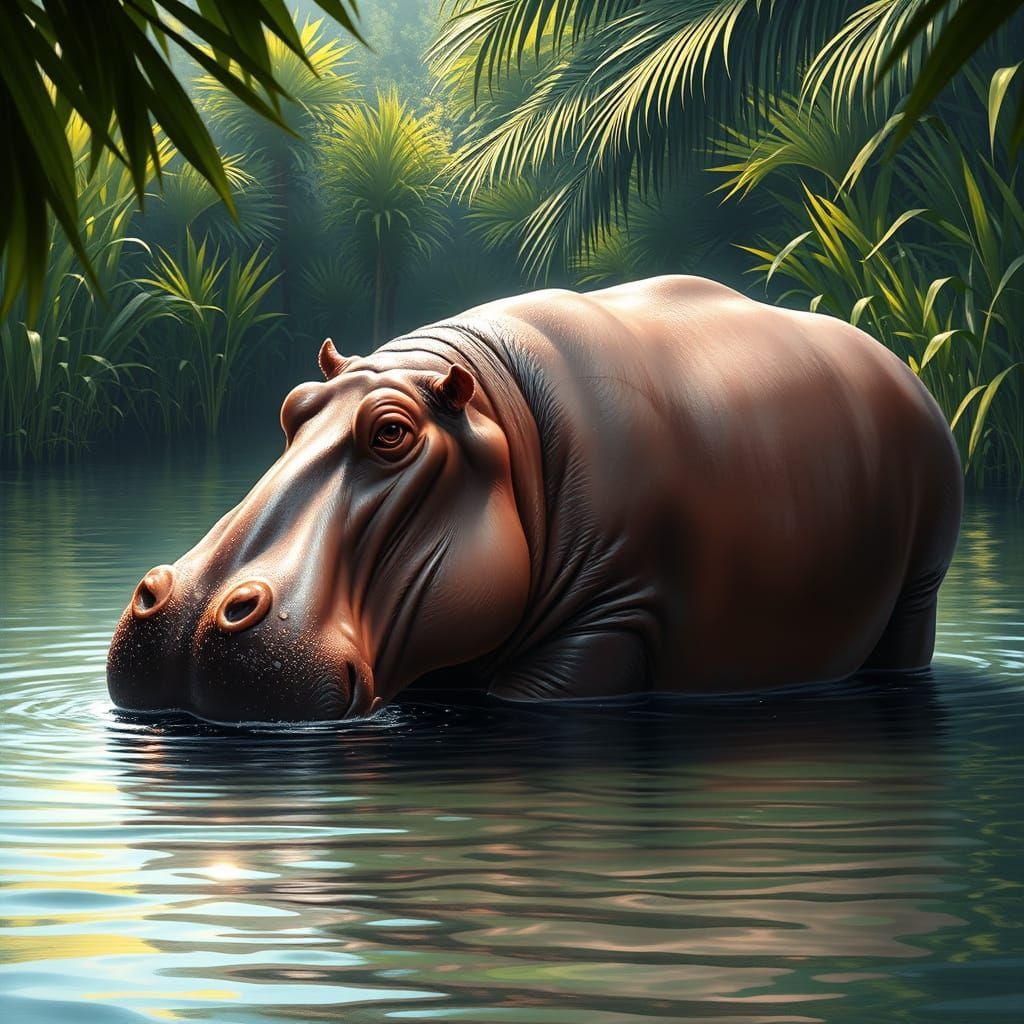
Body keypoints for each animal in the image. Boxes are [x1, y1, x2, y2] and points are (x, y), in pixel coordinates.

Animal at [107, 276, 963, 723]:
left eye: (392, 431)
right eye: (292, 406)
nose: (185, 618)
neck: (493, 409)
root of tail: (898, 361)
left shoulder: (616, 617)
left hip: (920, 588)